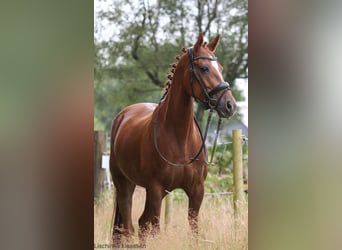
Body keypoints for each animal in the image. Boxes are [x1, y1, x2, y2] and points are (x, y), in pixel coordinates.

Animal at [109, 32, 235, 243]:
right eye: (204, 68)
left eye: (221, 68)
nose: (229, 105)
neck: (179, 138)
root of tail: (123, 116)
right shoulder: (156, 189)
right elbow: (155, 230)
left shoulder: (196, 191)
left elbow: (193, 231)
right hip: (124, 184)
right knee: (128, 227)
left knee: (141, 224)